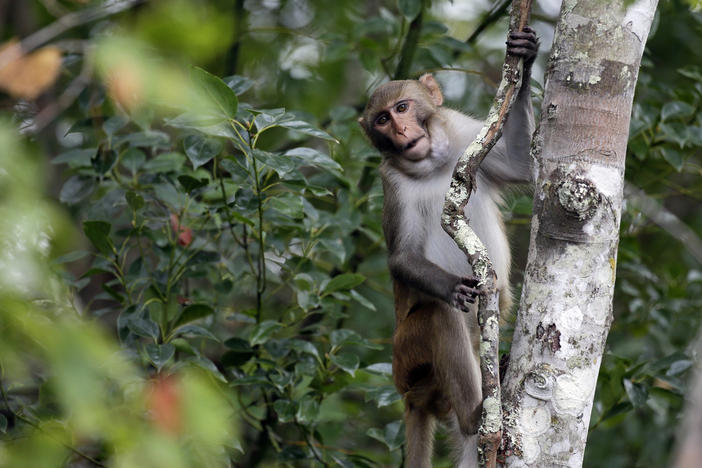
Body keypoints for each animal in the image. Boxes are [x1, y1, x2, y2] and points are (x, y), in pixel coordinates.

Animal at [360, 27, 540, 466]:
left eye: (403, 108)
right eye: (382, 120)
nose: (401, 133)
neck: (432, 163)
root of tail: (412, 396)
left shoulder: (463, 133)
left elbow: (520, 165)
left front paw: (525, 59)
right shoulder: (392, 182)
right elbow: (402, 257)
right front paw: (452, 287)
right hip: (407, 357)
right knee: (439, 317)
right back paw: (475, 415)